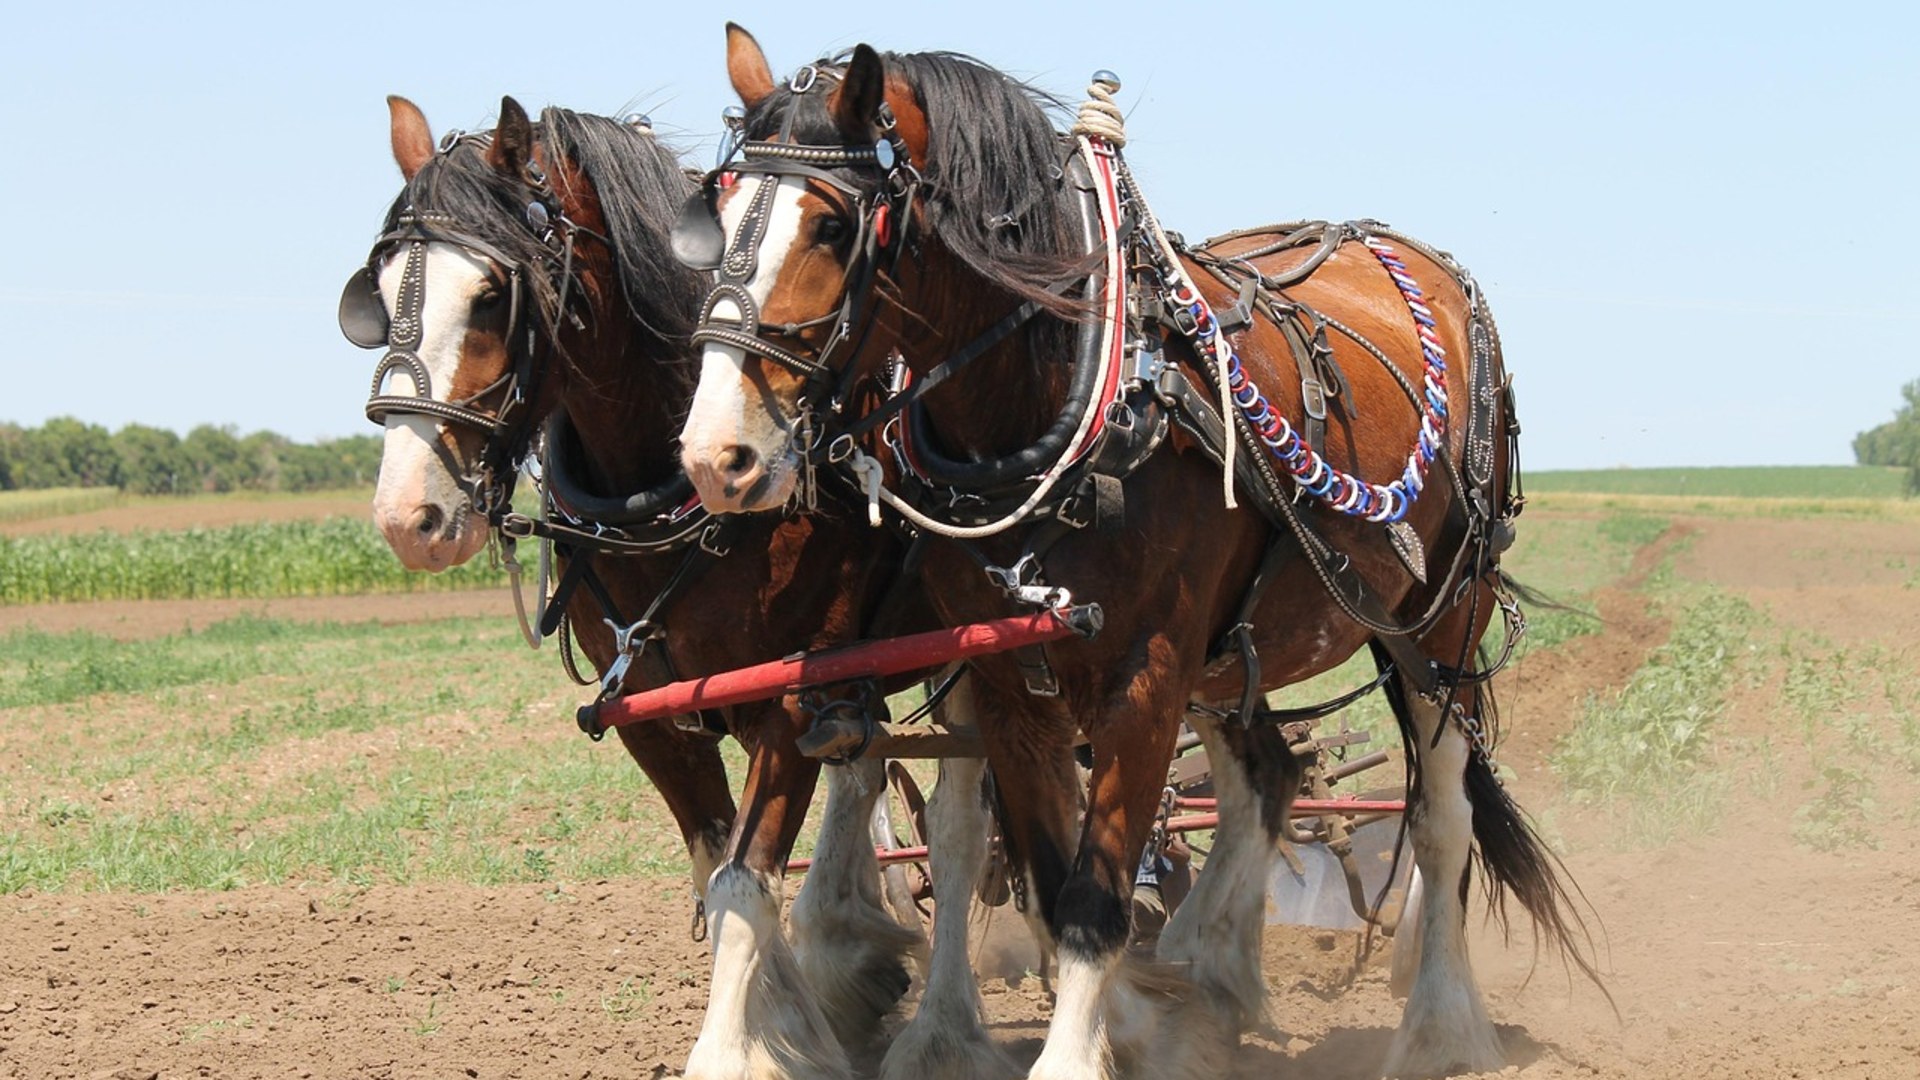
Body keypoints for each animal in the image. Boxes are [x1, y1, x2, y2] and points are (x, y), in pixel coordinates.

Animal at [347, 95, 1010, 1079]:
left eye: (493, 296)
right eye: (381, 292)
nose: (407, 517)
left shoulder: (787, 696)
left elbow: (743, 883)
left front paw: (743, 1046)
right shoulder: (653, 715)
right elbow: (717, 871)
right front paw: (803, 1020)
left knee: (962, 830)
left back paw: (942, 1032)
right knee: (866, 776)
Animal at [676, 27, 1596, 1079]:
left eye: (832, 227)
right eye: (718, 209)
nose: (715, 455)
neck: (1068, 401)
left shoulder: (1148, 676)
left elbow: (1094, 898)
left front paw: (1085, 1051)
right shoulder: (1011, 685)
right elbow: (1048, 880)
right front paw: (1152, 1020)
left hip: (1440, 619)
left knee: (1441, 816)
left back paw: (1440, 1025)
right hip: (1240, 650)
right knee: (1264, 779)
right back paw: (1214, 975)